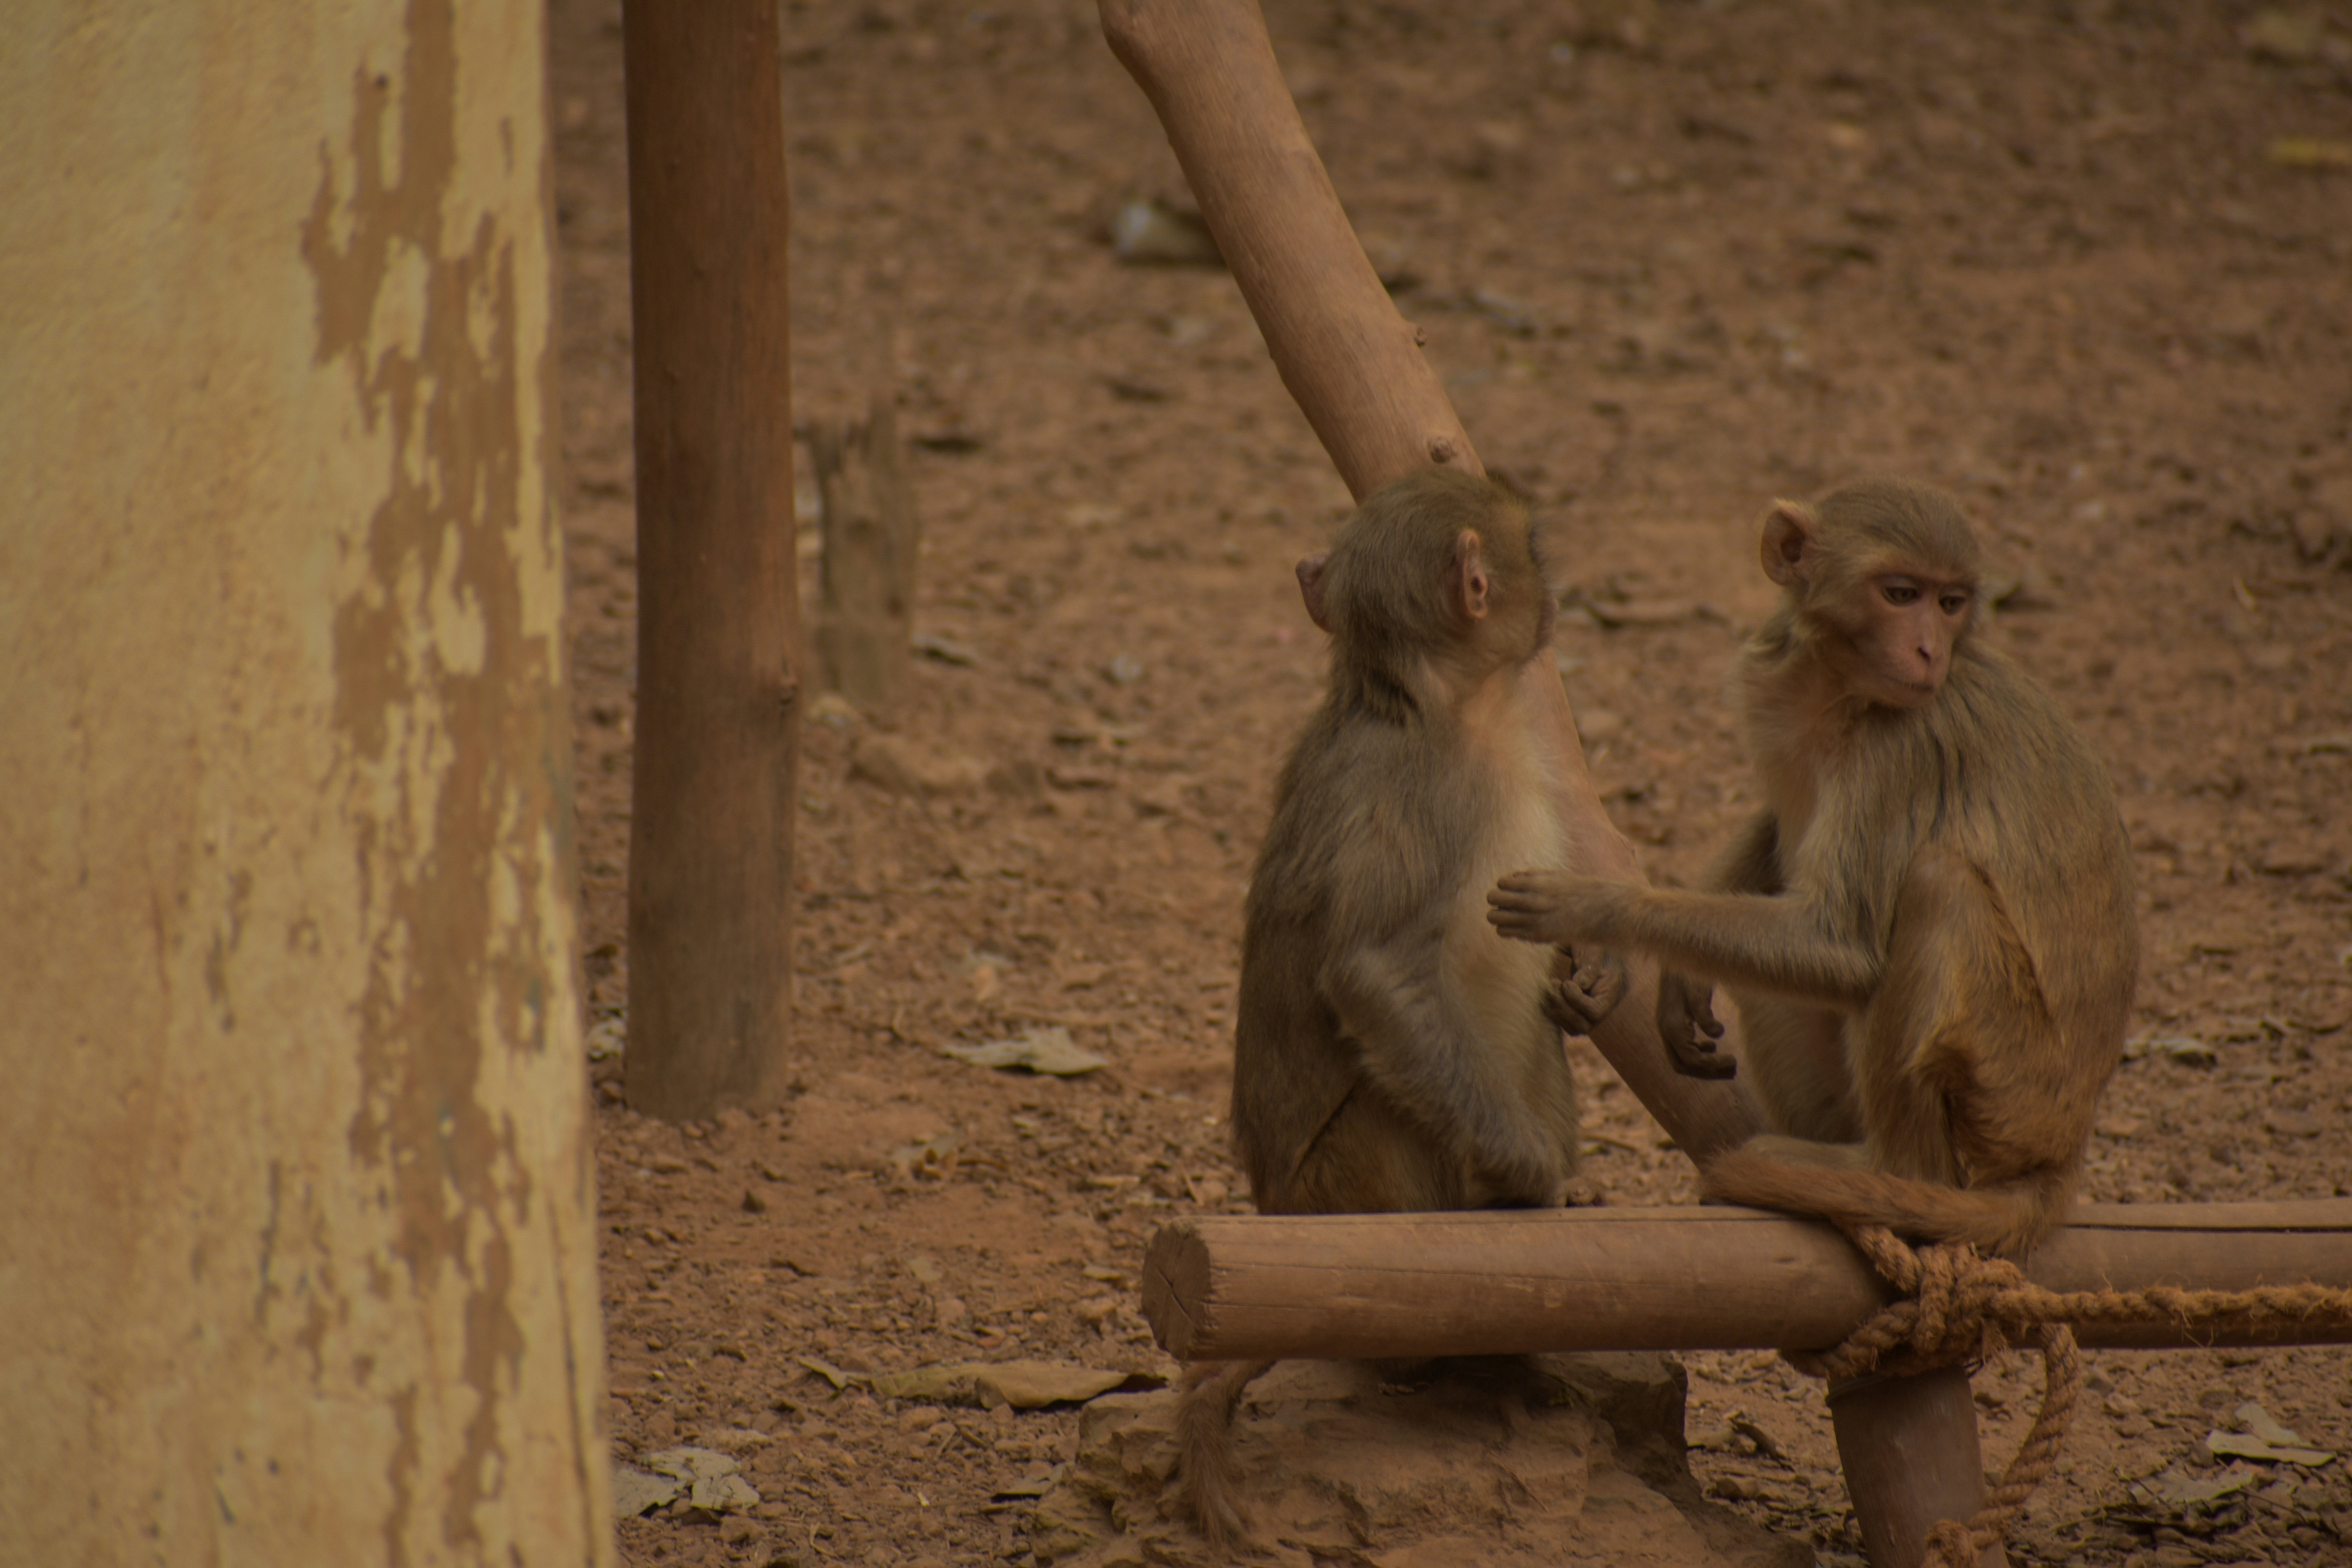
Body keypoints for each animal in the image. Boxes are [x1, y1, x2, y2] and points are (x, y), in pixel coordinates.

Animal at [1175, 467, 1626, 1552]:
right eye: (1528, 550)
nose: (1557, 593)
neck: (1421, 699)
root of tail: (1278, 1212)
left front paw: (1596, 975)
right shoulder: (1427, 789)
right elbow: (1376, 970)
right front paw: (1526, 1175)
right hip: (1348, 1192)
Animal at [1487, 477, 2137, 1260]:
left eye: (1950, 603)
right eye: (1901, 594)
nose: (1929, 650)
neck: (1831, 687)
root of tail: (2064, 1148)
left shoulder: (1903, 744)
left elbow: (1843, 945)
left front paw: (1596, 909)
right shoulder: (1767, 688)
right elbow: (1780, 837)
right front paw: (1661, 977)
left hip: (2011, 1091)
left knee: (1936, 887)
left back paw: (1891, 1171)